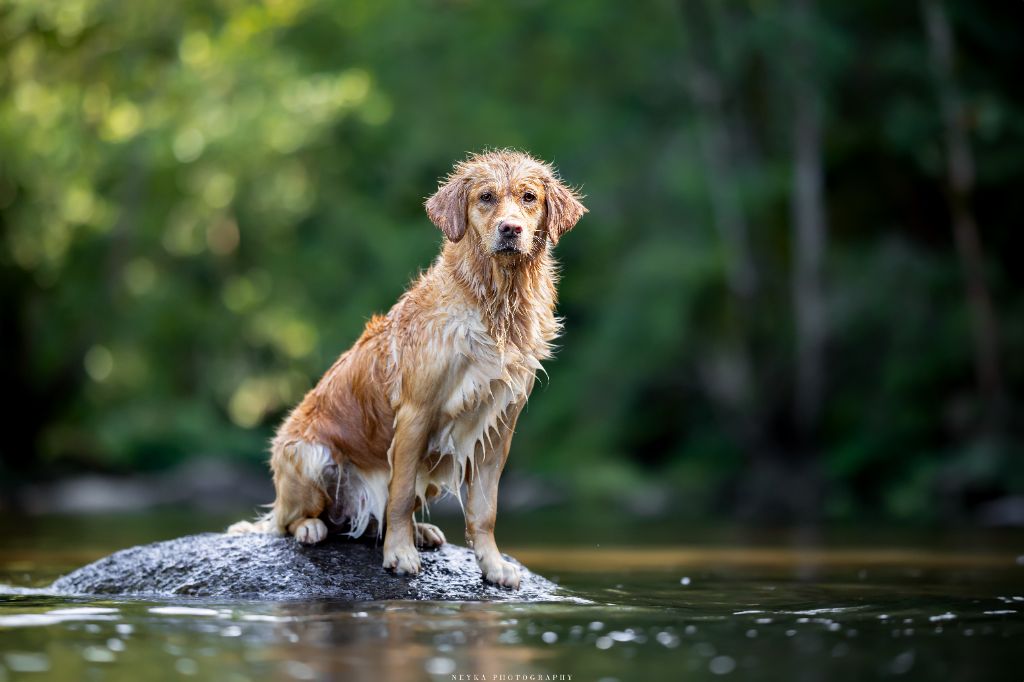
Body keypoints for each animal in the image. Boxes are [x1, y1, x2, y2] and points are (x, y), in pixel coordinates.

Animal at [230, 148, 585, 585]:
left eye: (529, 197)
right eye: (485, 197)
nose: (510, 229)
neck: (495, 301)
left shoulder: (498, 427)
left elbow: (484, 510)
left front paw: (493, 564)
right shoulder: (416, 414)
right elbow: (398, 496)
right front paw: (399, 554)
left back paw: (422, 531)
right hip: (309, 456)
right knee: (290, 521)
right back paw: (313, 528)